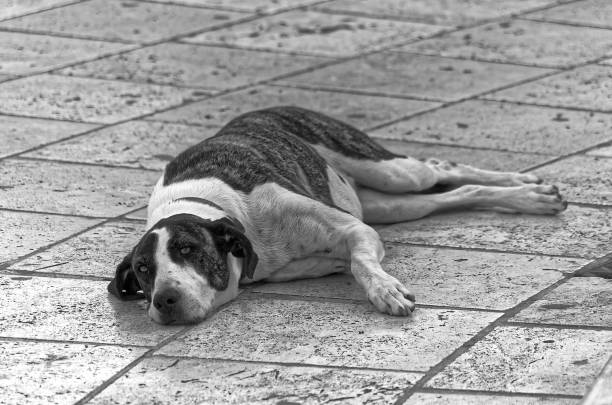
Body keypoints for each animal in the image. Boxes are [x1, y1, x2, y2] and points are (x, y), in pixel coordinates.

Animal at [106, 105, 568, 324]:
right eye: (144, 270)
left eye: (188, 250)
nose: (164, 299)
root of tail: (263, 111)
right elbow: (344, 261)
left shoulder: (354, 231)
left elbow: (362, 263)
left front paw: (385, 291)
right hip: (393, 204)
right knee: (453, 194)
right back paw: (526, 196)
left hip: (389, 171)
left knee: (443, 169)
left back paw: (531, 191)